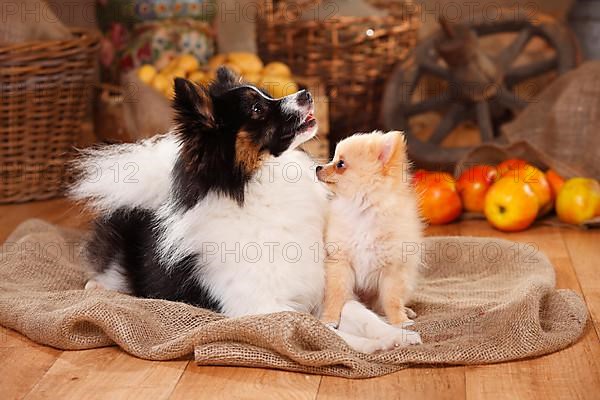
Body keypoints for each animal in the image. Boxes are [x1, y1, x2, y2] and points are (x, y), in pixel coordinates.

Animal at [318, 131, 422, 332]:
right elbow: (336, 295)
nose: (318, 167)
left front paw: (399, 320)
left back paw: (406, 311)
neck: (363, 209)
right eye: (333, 158)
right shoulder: (340, 263)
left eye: (340, 164)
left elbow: (392, 299)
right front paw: (329, 319)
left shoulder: (392, 268)